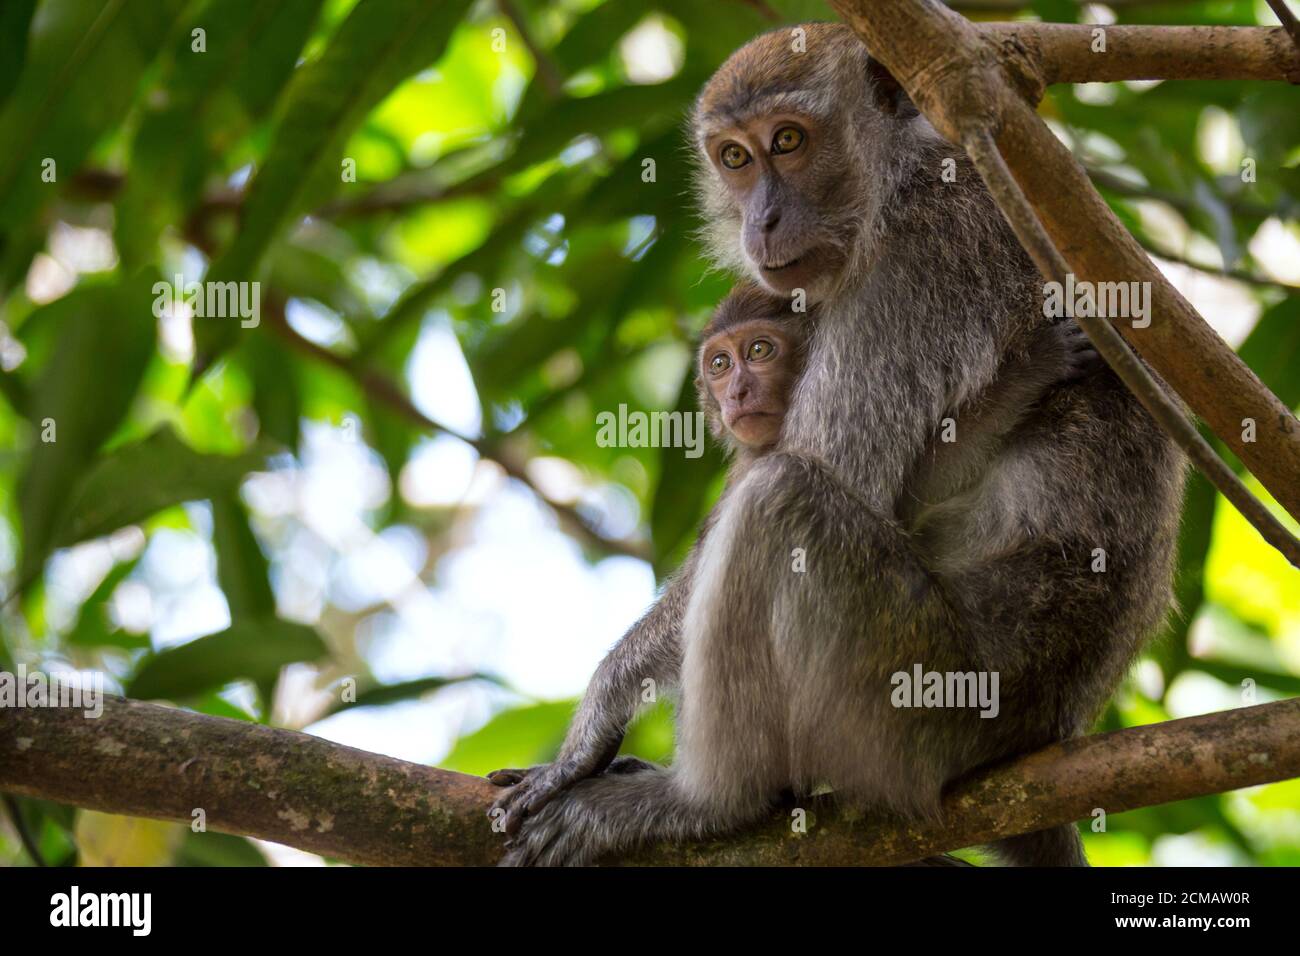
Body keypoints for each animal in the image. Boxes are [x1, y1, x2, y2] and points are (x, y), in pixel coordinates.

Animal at [488, 24, 1180, 868]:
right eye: (735, 157)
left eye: (789, 141)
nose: (762, 219)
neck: (900, 181)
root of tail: (1045, 725)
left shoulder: (909, 272)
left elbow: (838, 472)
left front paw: (598, 712)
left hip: (915, 696)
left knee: (783, 497)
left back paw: (706, 803)